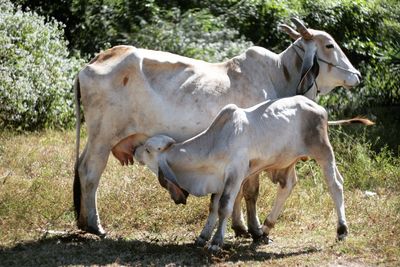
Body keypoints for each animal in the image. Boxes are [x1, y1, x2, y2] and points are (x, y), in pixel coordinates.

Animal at [135, 96, 354, 251]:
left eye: (148, 149)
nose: (135, 150)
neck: (214, 142)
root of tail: (319, 108)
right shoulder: (220, 179)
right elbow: (213, 206)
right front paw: (202, 237)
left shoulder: (236, 174)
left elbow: (224, 206)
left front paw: (216, 242)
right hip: (288, 160)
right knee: (288, 185)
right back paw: (265, 228)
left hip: (323, 151)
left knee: (335, 184)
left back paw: (342, 230)